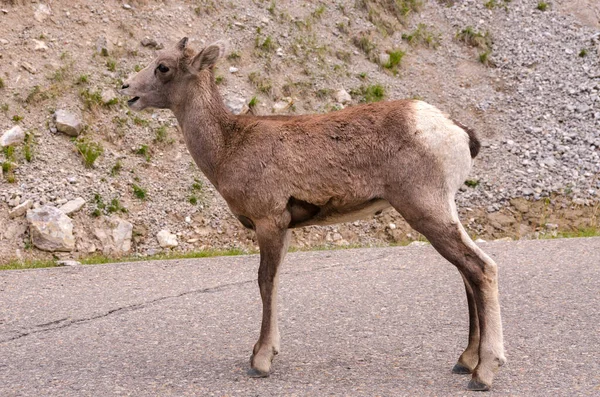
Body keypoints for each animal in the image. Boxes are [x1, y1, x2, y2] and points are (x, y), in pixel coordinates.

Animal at [122, 38, 506, 392]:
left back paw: (483, 373)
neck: (228, 146)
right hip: (441, 212)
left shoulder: (269, 222)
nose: (126, 89)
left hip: (427, 209)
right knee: (467, 272)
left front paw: (261, 361)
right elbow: (275, 284)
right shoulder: (285, 229)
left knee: (480, 268)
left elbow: (265, 282)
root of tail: (457, 132)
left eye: (163, 67)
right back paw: (465, 361)